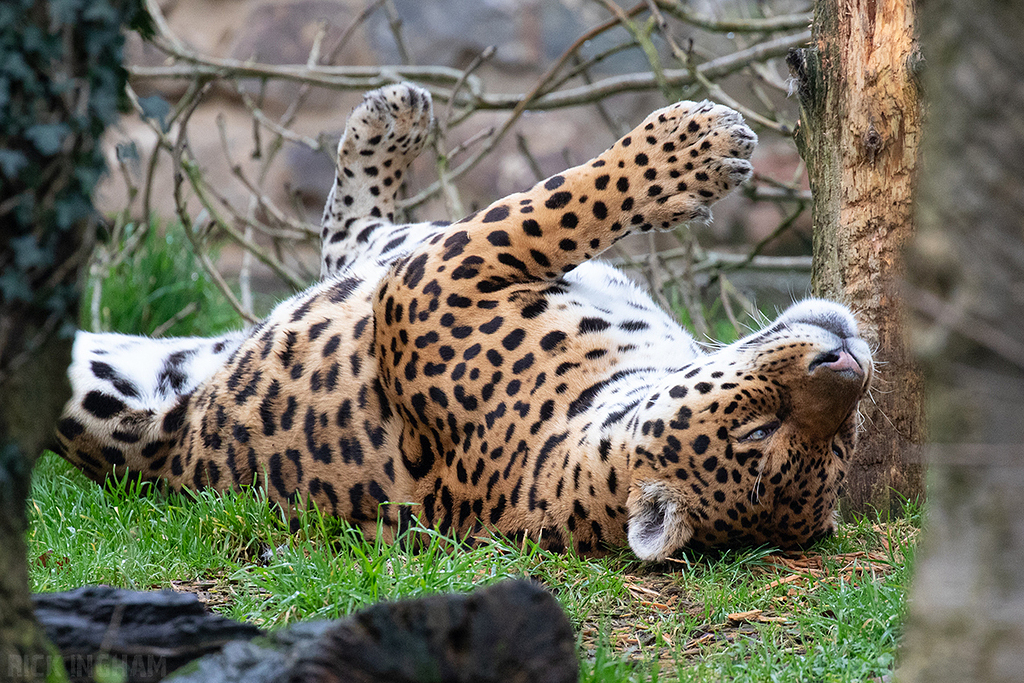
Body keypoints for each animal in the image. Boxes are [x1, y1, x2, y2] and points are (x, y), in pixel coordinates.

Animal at [56, 83, 872, 561]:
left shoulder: (426, 277)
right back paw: (392, 118)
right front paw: (693, 148)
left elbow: (556, 204)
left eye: (837, 445)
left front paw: (692, 149)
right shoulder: (428, 276)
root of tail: (166, 447)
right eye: (758, 431)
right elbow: (560, 203)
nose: (849, 360)